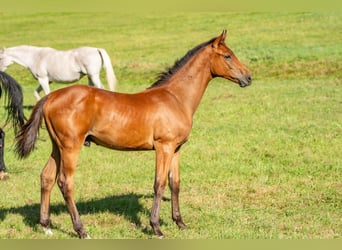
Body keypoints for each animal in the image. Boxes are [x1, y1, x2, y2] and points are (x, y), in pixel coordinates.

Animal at [14, 31, 251, 238]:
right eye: (227, 55)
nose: (248, 78)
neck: (175, 97)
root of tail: (50, 97)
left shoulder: (176, 149)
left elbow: (175, 183)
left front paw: (180, 223)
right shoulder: (163, 147)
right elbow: (159, 183)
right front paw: (156, 227)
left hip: (58, 146)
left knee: (46, 177)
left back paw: (46, 226)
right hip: (71, 146)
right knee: (65, 182)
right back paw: (81, 230)